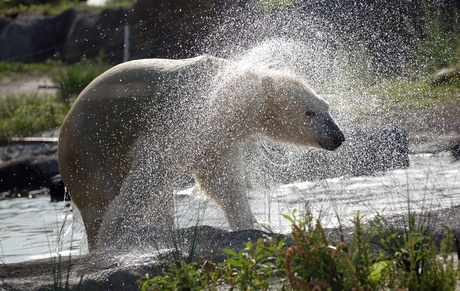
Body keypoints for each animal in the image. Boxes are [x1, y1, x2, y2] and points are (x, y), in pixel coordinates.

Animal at [57, 55, 344, 251]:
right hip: (89, 149)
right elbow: (151, 170)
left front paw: (257, 224)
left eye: (326, 107)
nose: (338, 137)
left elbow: (223, 182)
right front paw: (116, 232)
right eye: (310, 112)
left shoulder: (216, 137)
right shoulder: (183, 117)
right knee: (99, 194)